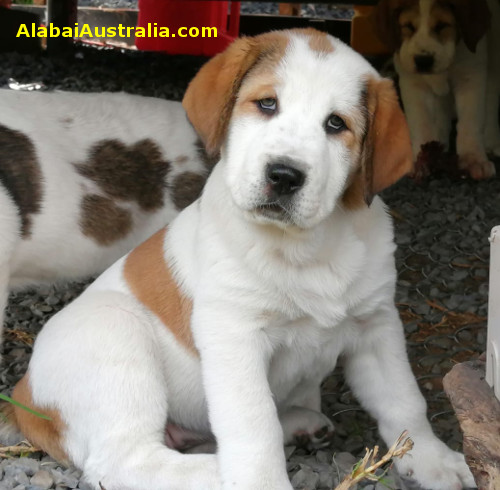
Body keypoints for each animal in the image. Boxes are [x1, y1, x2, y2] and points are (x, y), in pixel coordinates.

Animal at [376, 0, 500, 179]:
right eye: (409, 26)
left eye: (442, 25)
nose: (423, 60)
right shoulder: (413, 83)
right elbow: (421, 121)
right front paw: (421, 160)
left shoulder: (470, 76)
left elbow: (470, 122)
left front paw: (474, 160)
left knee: (491, 98)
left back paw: (492, 141)